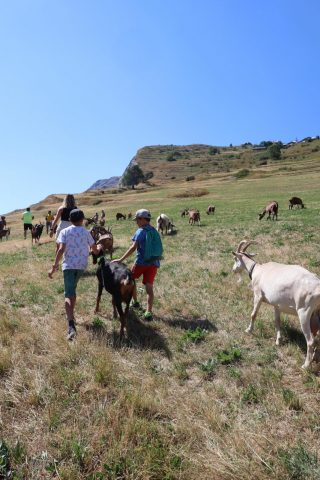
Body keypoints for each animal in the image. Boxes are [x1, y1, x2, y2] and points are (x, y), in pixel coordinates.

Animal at [232, 239, 320, 368]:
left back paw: (306, 365)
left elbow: (253, 314)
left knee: (310, 341)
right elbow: (277, 321)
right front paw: (278, 341)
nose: (233, 270)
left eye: (235, 259)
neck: (257, 270)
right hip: (316, 314)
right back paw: (315, 358)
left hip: (304, 312)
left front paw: (249, 330)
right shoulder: (277, 305)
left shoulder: (258, 295)